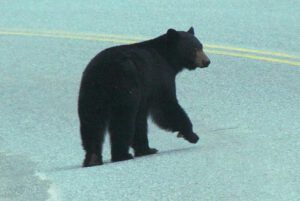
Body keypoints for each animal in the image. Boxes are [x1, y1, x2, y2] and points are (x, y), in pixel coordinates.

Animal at [78, 27, 212, 166]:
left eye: (201, 46)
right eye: (194, 49)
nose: (207, 61)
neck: (167, 58)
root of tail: (104, 71)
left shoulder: (144, 94)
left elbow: (140, 120)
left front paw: (146, 149)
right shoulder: (159, 77)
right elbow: (166, 107)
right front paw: (191, 134)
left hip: (90, 93)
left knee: (92, 122)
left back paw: (92, 159)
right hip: (125, 85)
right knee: (123, 120)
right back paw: (122, 155)